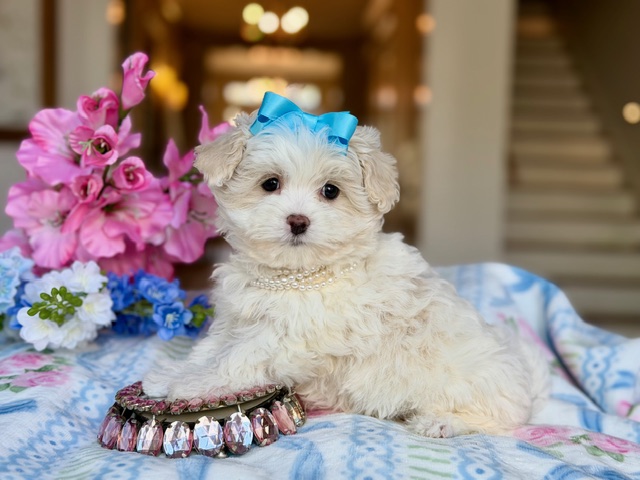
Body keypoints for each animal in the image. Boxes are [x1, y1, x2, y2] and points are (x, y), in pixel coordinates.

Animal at [143, 93, 548, 437]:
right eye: (270, 183)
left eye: (331, 191)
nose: (298, 221)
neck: (297, 275)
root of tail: (526, 376)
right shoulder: (237, 319)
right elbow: (211, 348)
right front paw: (172, 374)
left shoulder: (286, 338)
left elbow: (235, 358)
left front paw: (190, 385)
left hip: (471, 384)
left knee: (497, 419)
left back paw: (439, 422)